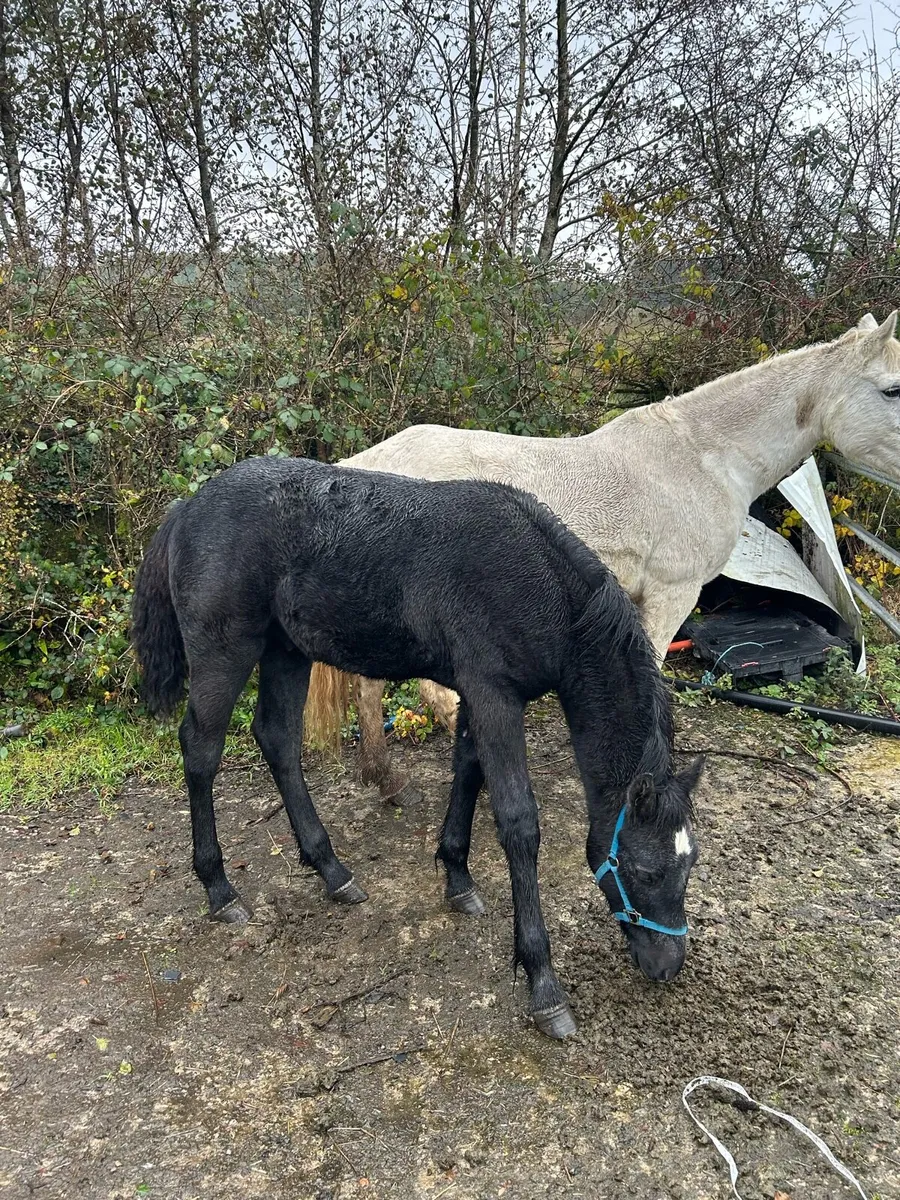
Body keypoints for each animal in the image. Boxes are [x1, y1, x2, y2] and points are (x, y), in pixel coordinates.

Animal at [131, 456, 702, 1038]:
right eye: (646, 871)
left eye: (690, 864)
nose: (668, 966)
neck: (545, 590)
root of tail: (187, 509)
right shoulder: (495, 695)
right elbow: (518, 822)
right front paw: (543, 983)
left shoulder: (476, 693)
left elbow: (467, 770)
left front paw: (457, 877)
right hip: (224, 653)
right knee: (202, 750)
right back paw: (220, 889)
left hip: (286, 649)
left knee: (278, 740)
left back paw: (332, 870)